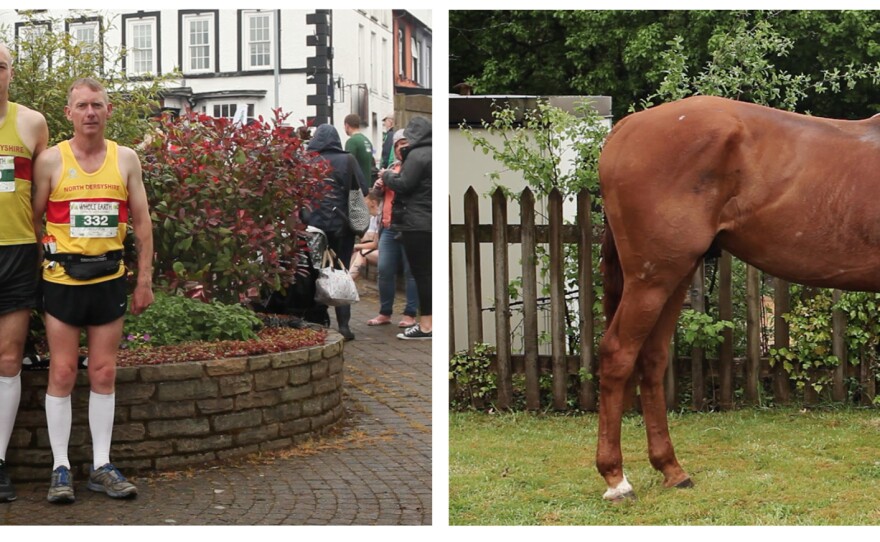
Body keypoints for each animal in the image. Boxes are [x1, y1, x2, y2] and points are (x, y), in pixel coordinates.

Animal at [600, 94, 880, 502]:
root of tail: (625, 128)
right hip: (651, 279)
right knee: (618, 355)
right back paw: (616, 480)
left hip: (673, 276)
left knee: (651, 359)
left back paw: (672, 469)